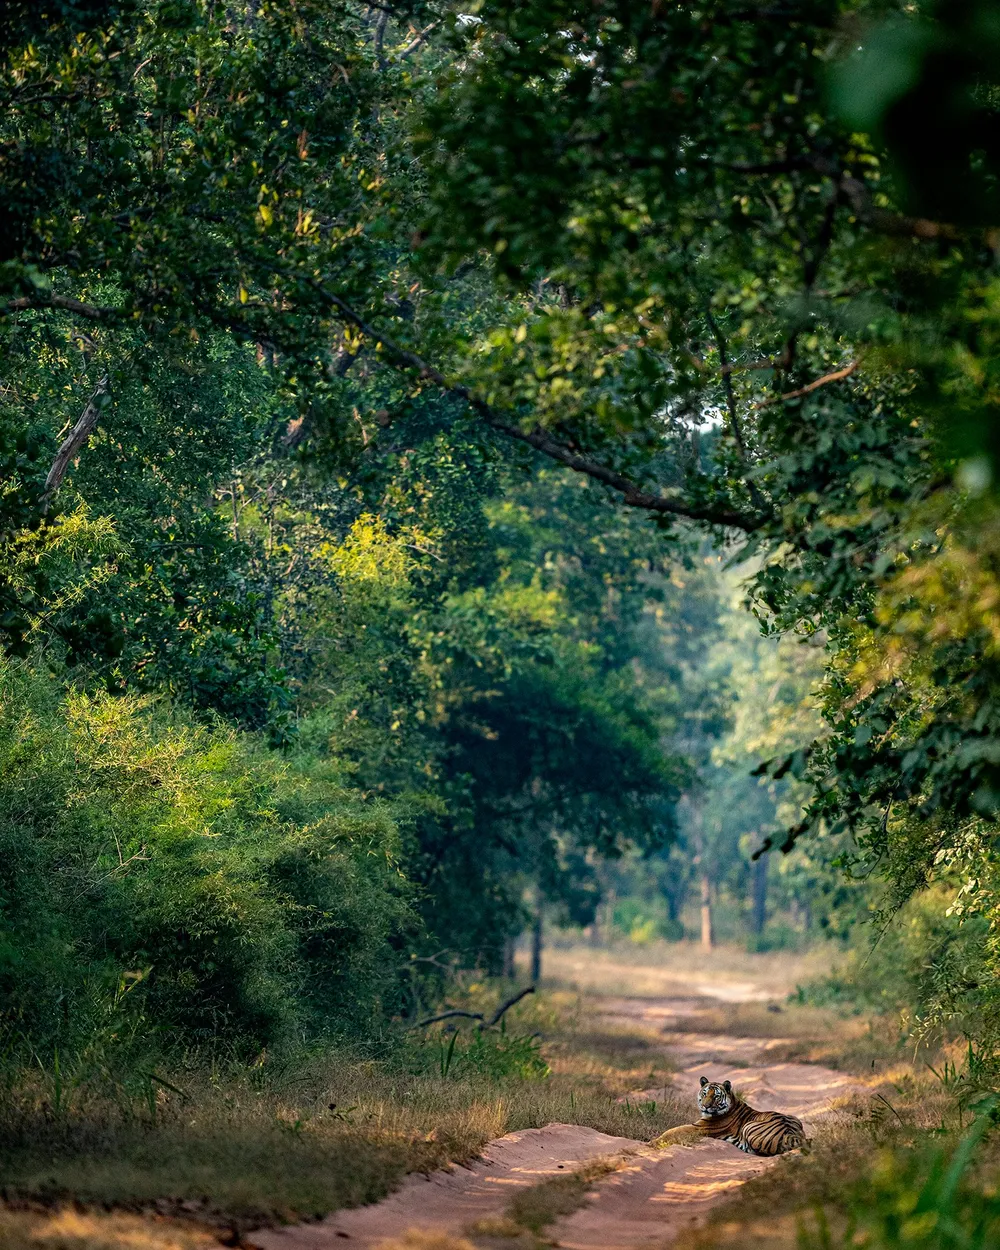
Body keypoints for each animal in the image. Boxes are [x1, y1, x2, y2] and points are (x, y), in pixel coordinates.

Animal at [651, 1077, 806, 1157]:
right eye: (704, 1093)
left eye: (716, 1096)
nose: (705, 1106)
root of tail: (791, 1134)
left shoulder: (699, 1128)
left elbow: (672, 1131)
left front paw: (652, 1142)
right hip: (793, 1117)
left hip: (748, 1127)